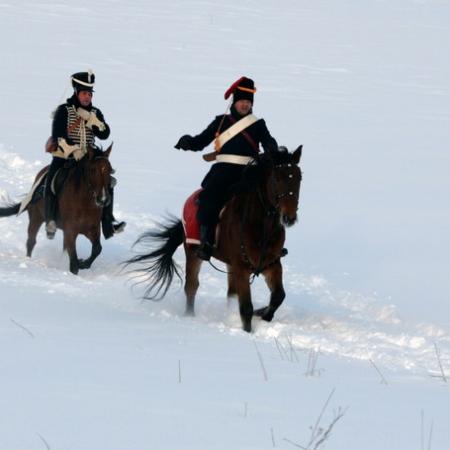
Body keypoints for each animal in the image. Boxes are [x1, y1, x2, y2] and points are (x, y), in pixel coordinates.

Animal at [0, 144, 114, 274]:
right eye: (92, 170)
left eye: (110, 170)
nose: (103, 199)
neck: (85, 203)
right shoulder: (70, 231)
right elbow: (74, 263)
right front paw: (77, 266)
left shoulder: (93, 229)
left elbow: (97, 249)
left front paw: (83, 263)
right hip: (36, 218)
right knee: (31, 242)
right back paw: (28, 261)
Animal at [125, 146, 302, 332]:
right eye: (276, 179)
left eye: (299, 177)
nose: (289, 217)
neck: (262, 228)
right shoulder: (241, 267)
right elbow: (246, 308)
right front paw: (248, 330)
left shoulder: (272, 265)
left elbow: (278, 296)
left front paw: (262, 314)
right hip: (193, 252)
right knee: (192, 286)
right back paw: (190, 316)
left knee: (230, 293)